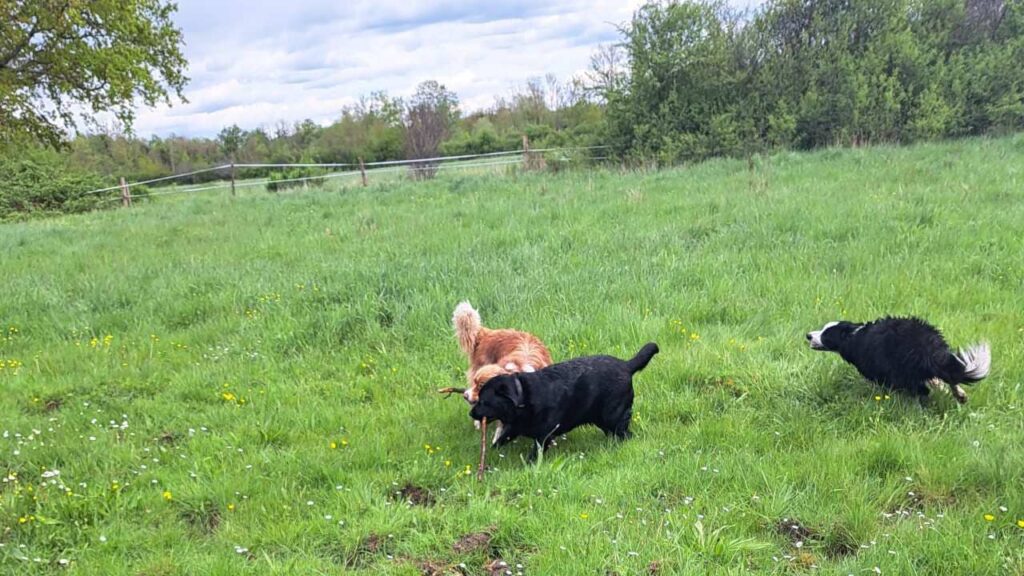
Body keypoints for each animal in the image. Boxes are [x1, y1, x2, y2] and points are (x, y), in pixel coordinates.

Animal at [468, 340, 659, 457]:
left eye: (484, 401)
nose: (471, 413)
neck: (523, 396)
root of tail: (626, 365)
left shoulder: (544, 435)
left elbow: (534, 454)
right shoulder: (515, 427)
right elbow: (500, 440)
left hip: (613, 416)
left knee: (625, 433)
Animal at [811, 315, 987, 401]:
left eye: (826, 335)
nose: (808, 335)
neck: (853, 335)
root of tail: (926, 346)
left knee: (923, 390)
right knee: (950, 375)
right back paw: (960, 395)